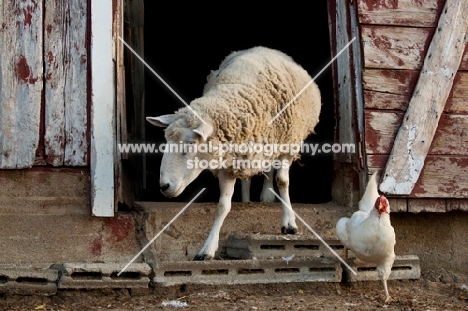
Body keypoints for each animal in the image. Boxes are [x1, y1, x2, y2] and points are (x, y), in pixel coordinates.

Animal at [147, 45, 322, 260]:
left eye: (191, 144)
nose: (164, 186)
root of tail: (263, 47)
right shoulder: (228, 164)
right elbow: (222, 207)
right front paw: (208, 249)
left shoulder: (288, 145)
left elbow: (283, 182)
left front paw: (289, 223)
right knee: (249, 177)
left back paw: (267, 195)